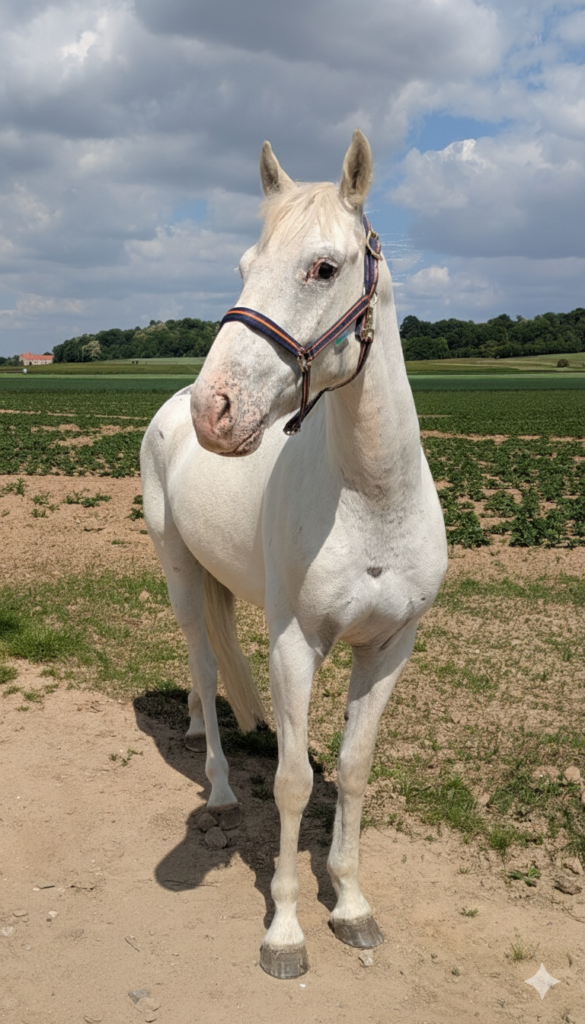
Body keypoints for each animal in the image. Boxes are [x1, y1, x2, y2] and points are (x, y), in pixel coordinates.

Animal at [140, 130, 447, 979]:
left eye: (323, 267)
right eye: (245, 264)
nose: (216, 411)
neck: (370, 501)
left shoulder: (389, 647)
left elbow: (350, 771)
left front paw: (350, 904)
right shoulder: (295, 645)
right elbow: (288, 782)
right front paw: (284, 930)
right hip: (180, 574)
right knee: (204, 665)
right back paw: (215, 783)